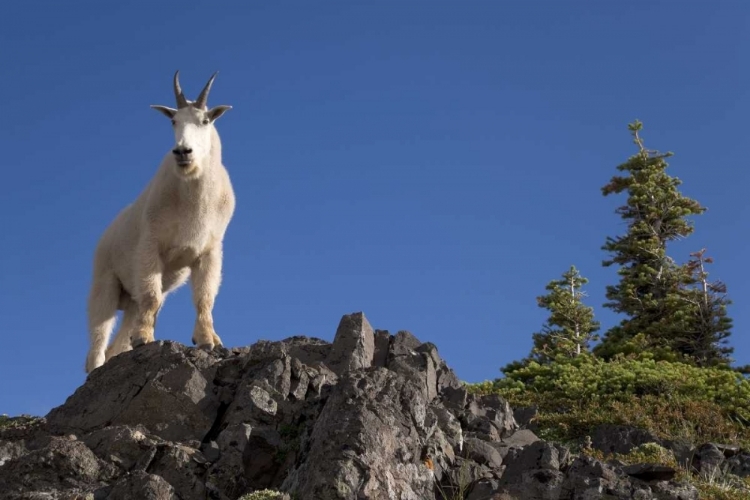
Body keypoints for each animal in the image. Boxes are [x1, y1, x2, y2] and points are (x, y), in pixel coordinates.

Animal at [82, 71, 236, 376]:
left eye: (205, 121)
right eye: (173, 121)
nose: (183, 151)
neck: (193, 196)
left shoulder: (210, 251)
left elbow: (204, 297)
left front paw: (208, 340)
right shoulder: (151, 245)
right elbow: (152, 296)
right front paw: (144, 338)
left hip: (130, 299)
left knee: (120, 336)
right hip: (105, 281)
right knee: (99, 335)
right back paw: (95, 369)